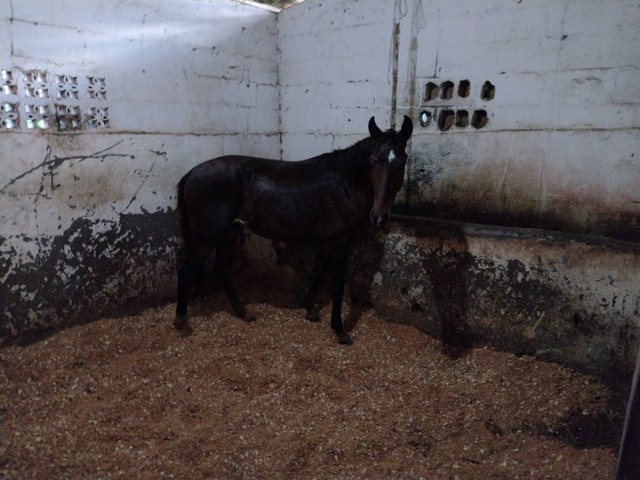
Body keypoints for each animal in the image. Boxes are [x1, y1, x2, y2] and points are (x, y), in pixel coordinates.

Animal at [176, 116, 416, 344]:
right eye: (373, 161)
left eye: (402, 161)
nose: (379, 217)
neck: (345, 183)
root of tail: (192, 172)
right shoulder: (341, 240)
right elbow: (337, 284)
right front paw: (340, 330)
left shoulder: (327, 239)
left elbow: (318, 271)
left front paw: (310, 310)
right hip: (206, 236)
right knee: (187, 270)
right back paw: (181, 322)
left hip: (229, 231)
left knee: (222, 268)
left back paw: (243, 312)